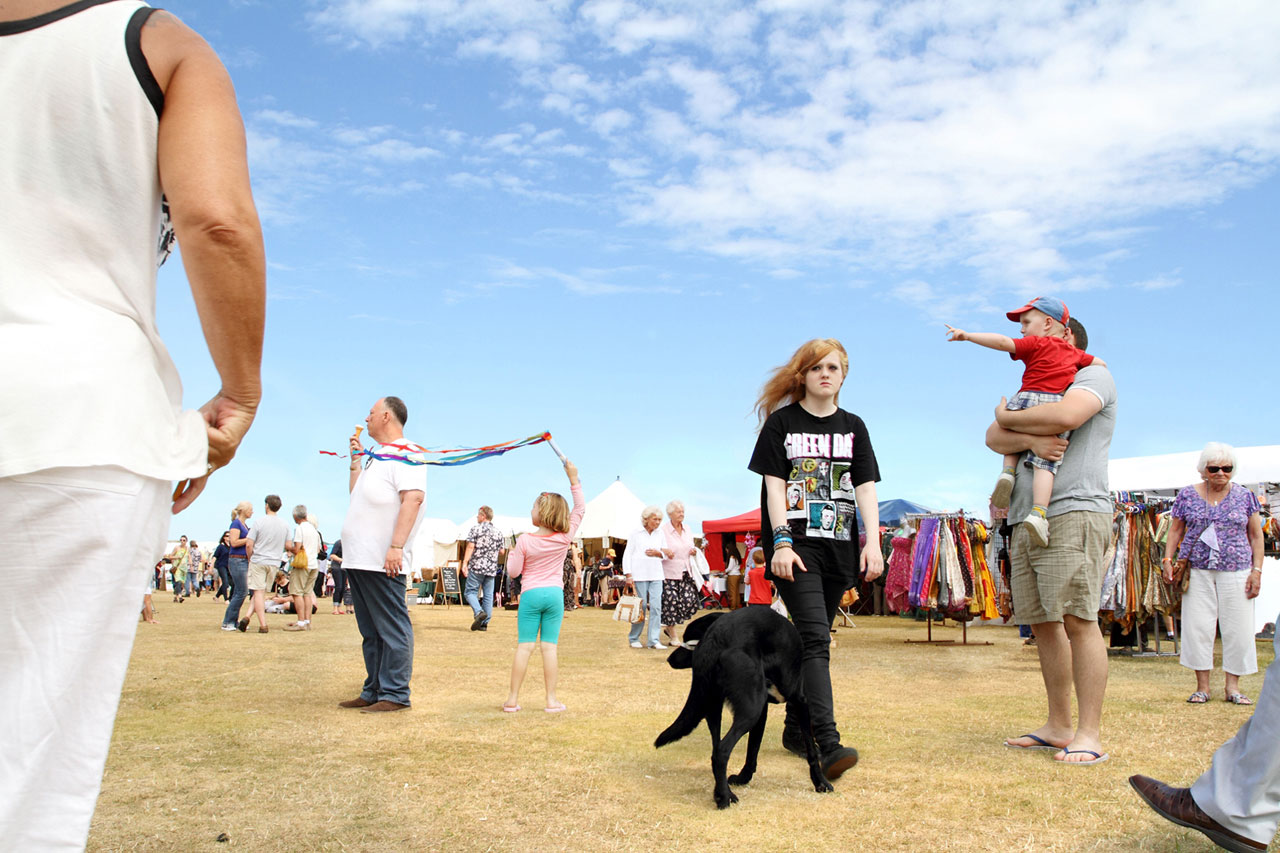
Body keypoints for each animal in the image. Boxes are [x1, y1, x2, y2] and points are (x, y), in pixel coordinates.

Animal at [655, 604, 834, 804]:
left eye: (689, 641)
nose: (669, 659)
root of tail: (715, 638)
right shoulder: (799, 701)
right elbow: (811, 749)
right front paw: (820, 782)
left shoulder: (763, 710)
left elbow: (753, 748)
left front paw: (743, 778)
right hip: (750, 709)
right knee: (722, 751)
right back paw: (724, 798)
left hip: (714, 706)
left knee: (716, 747)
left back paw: (722, 792)